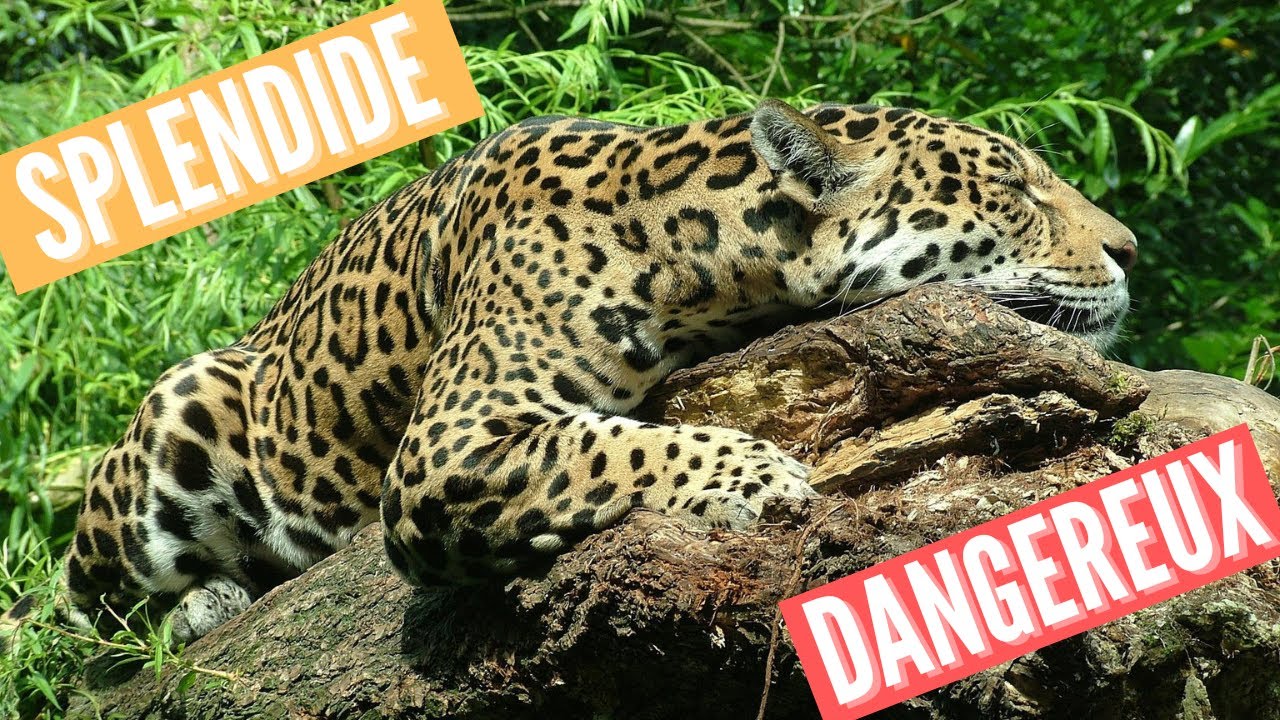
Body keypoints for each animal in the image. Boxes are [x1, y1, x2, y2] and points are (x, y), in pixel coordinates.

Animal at [2, 98, 1137, 644]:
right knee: (75, 622)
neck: (698, 248)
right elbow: (604, 448)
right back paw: (194, 605)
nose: (1128, 248)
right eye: (1013, 190)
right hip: (173, 425)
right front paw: (756, 474)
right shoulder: (449, 443)